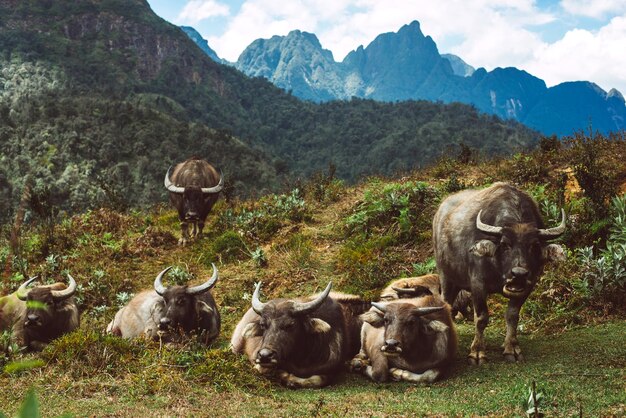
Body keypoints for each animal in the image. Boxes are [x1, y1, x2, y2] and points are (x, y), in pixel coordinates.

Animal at [432, 181, 564, 364]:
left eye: (534, 245)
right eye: (505, 244)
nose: (519, 274)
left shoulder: (528, 285)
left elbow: (512, 316)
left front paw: (511, 348)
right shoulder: (477, 284)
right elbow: (481, 318)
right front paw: (477, 352)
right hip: (446, 277)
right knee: (446, 302)